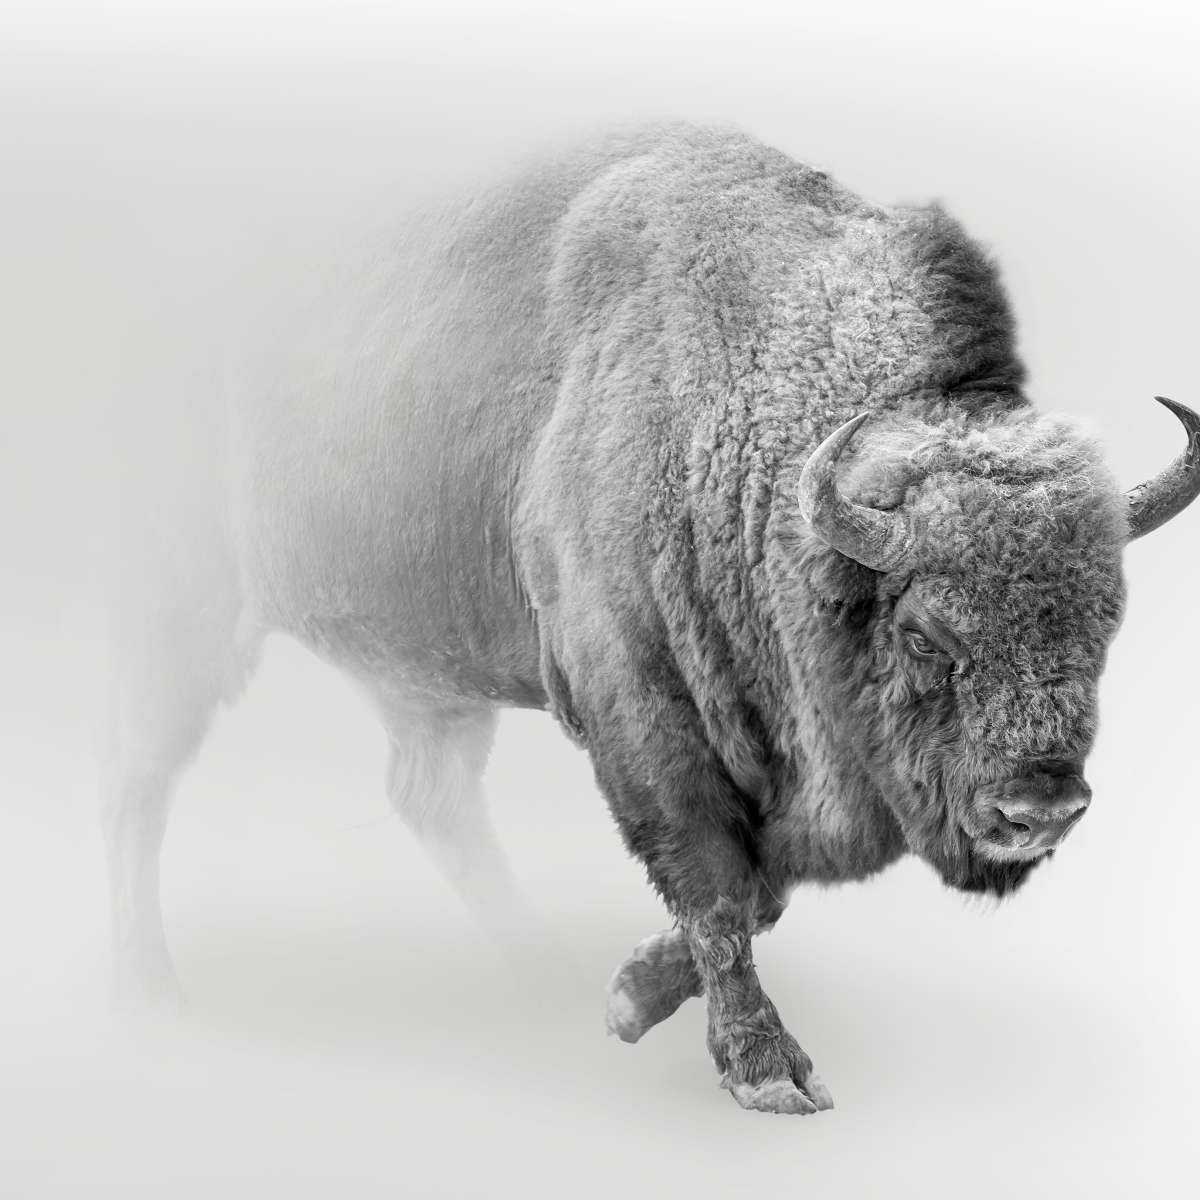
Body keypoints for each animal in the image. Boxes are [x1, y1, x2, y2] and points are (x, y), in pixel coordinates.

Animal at [104, 123, 1199, 1114]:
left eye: (1104, 626)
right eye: (927, 633)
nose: (1039, 808)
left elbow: (762, 887)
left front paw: (627, 997)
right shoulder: (636, 705)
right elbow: (718, 882)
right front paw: (765, 1071)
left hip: (423, 674)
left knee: (428, 795)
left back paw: (536, 970)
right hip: (184, 611)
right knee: (139, 779)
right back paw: (149, 993)